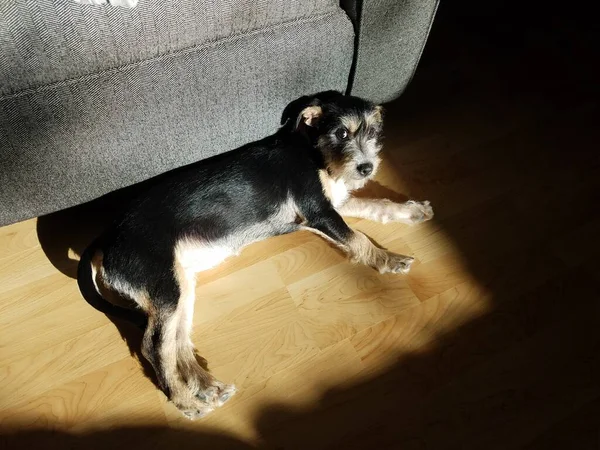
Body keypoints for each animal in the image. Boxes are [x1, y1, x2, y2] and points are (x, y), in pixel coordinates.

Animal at [78, 89, 432, 420]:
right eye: (341, 133)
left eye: (373, 132)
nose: (366, 168)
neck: (315, 153)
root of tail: (107, 238)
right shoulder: (318, 211)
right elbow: (357, 239)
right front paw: (388, 259)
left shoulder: (335, 205)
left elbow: (378, 205)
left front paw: (412, 211)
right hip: (164, 286)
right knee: (153, 347)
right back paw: (184, 401)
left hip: (179, 287)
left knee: (176, 341)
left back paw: (205, 385)